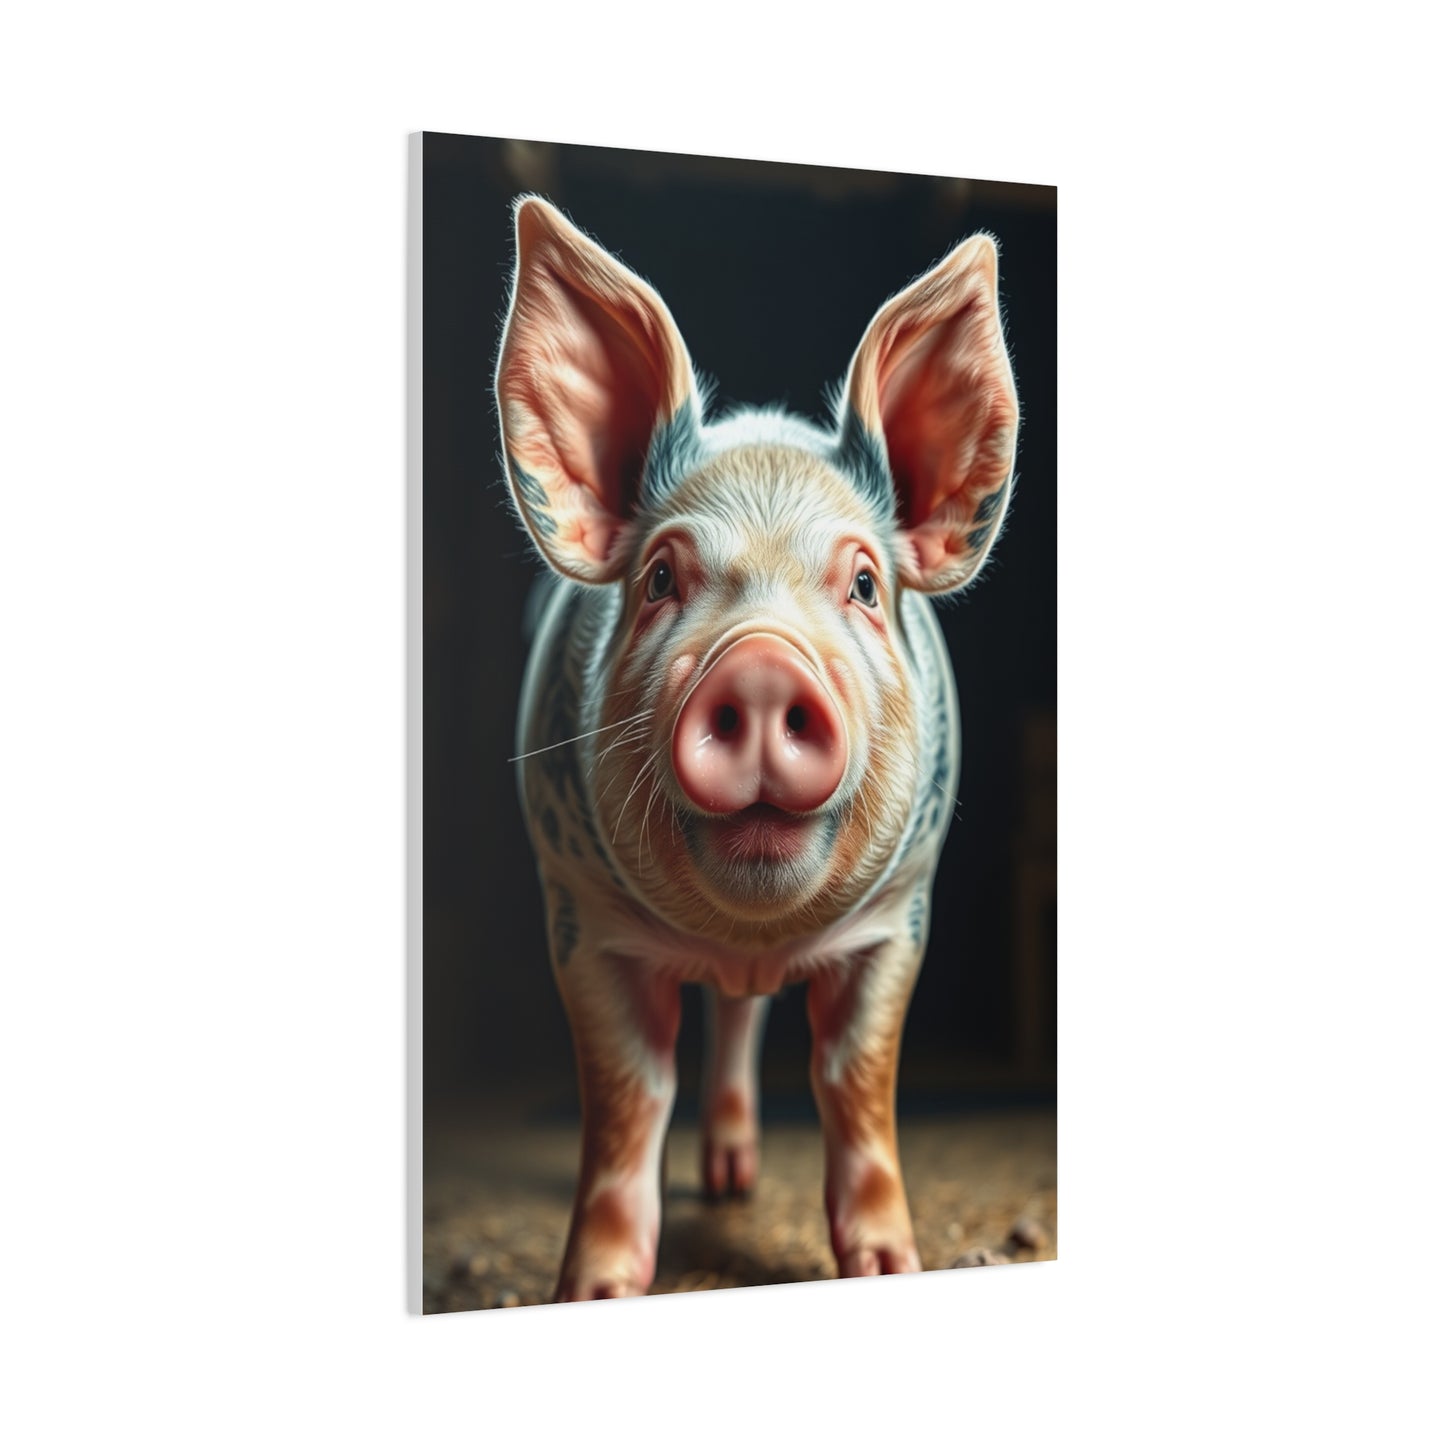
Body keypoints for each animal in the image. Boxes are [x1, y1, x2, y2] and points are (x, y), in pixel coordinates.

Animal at [496, 196, 1018, 1302]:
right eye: (659, 578)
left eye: (862, 584)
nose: (764, 664)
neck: (747, 939)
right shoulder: (576, 912)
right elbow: (627, 1096)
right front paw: (593, 1291)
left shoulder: (901, 914)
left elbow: (854, 1081)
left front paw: (886, 1266)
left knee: (744, 1025)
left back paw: (735, 1179)